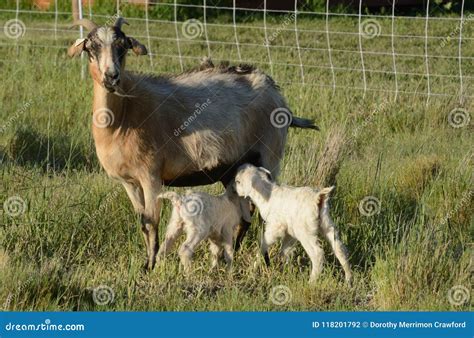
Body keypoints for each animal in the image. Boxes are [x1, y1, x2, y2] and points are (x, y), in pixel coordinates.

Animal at [67, 17, 318, 270]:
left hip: (270, 155)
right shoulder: (129, 182)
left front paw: (152, 266)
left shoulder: (151, 175)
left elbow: (152, 222)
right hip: (234, 169)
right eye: (91, 47)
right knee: (244, 215)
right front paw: (146, 264)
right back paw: (232, 254)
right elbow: (142, 222)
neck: (124, 116)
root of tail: (273, 88)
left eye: (123, 46)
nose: (111, 76)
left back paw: (262, 260)